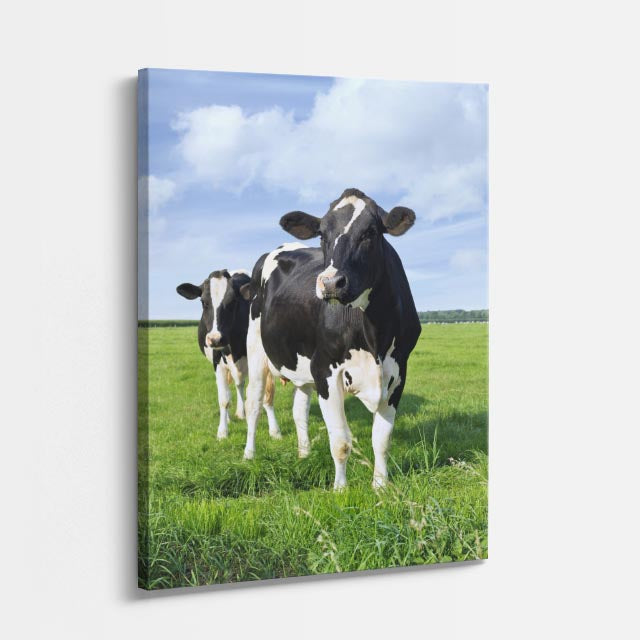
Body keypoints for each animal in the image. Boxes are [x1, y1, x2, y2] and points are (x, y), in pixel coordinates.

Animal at [177, 269, 281, 441]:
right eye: (204, 302)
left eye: (233, 302)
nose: (215, 339)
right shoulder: (217, 363)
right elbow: (224, 399)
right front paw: (222, 431)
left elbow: (267, 395)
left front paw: (275, 430)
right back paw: (230, 418)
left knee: (240, 384)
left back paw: (241, 413)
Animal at [240, 188, 421, 489]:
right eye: (322, 234)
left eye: (370, 232)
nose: (330, 282)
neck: (373, 336)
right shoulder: (325, 369)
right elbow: (341, 442)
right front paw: (340, 489)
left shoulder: (398, 373)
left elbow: (382, 440)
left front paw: (381, 487)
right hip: (256, 351)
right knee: (253, 403)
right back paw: (249, 454)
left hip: (302, 364)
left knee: (299, 409)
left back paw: (303, 454)